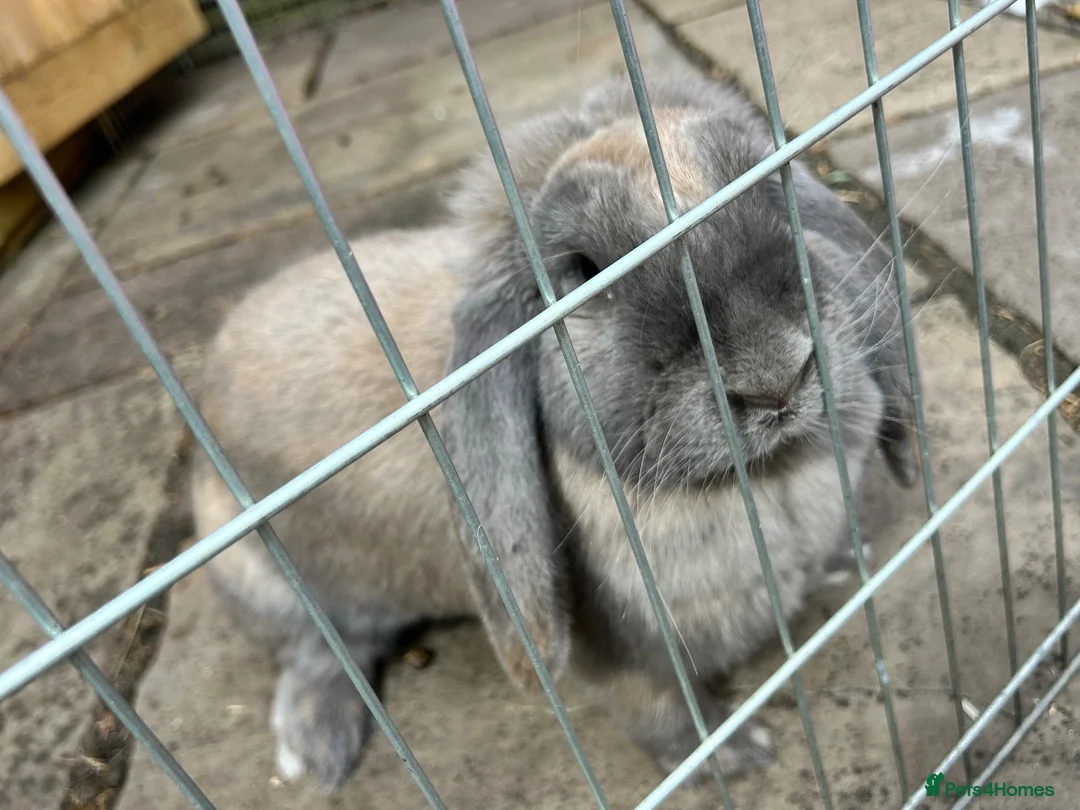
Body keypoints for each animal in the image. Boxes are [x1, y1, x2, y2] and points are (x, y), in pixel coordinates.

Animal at [190, 64, 917, 793]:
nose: (775, 378)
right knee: (319, 649)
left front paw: (842, 563)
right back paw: (318, 750)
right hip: (261, 581)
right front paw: (735, 755)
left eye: (772, 191)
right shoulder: (623, 660)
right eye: (587, 272)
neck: (769, 474)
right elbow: (663, 711)